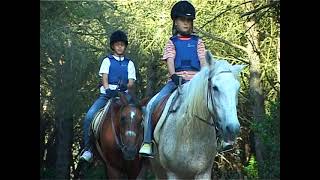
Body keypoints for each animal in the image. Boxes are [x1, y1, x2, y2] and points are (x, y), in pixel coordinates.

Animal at [145, 51, 245, 179]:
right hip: (157, 167)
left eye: (237, 88)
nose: (233, 128)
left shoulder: (204, 173)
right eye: (215, 87)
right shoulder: (173, 173)